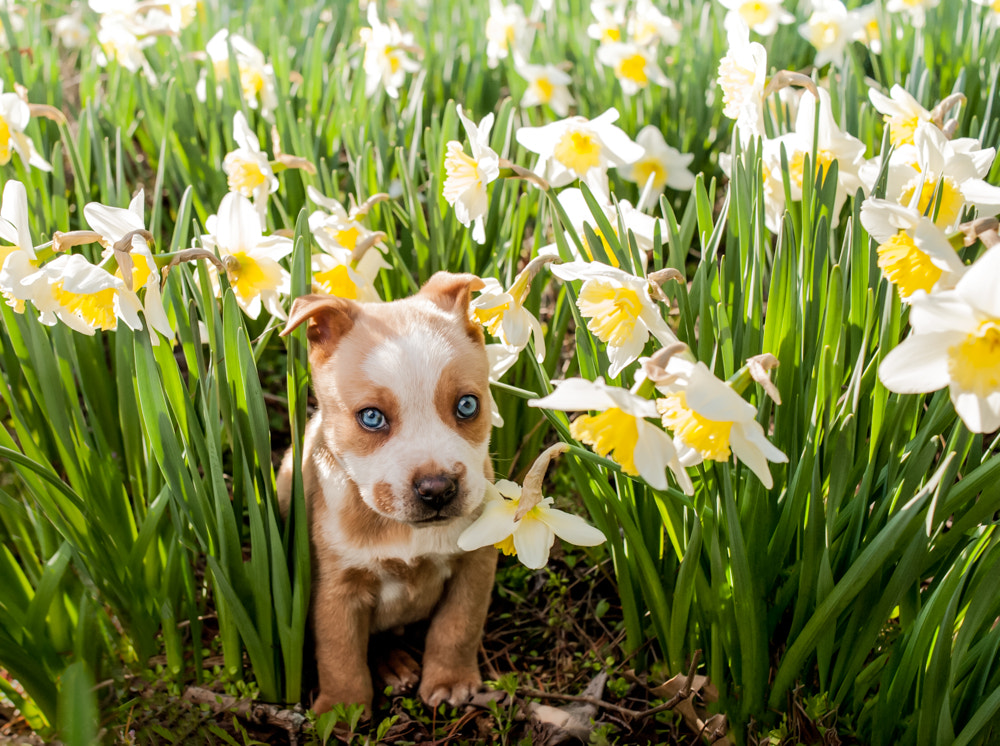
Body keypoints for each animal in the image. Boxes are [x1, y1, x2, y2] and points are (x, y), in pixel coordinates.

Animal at [278, 272, 496, 716]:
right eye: (371, 418)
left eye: (467, 406)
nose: (437, 489)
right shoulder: (336, 589)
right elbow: (340, 654)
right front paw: (343, 710)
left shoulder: (475, 564)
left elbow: (457, 626)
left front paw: (449, 681)